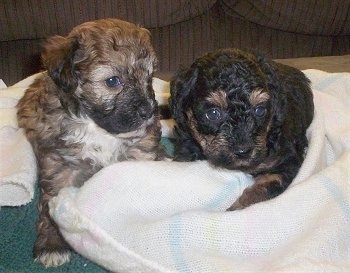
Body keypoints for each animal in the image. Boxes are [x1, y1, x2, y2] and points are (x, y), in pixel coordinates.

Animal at [16, 18, 164, 266]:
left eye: (150, 77)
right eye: (113, 81)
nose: (148, 111)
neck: (95, 127)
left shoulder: (141, 151)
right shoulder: (60, 166)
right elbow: (51, 206)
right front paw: (51, 244)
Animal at [170, 48, 314, 210]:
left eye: (259, 110)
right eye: (213, 113)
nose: (243, 151)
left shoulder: (285, 160)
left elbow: (266, 186)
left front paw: (236, 208)